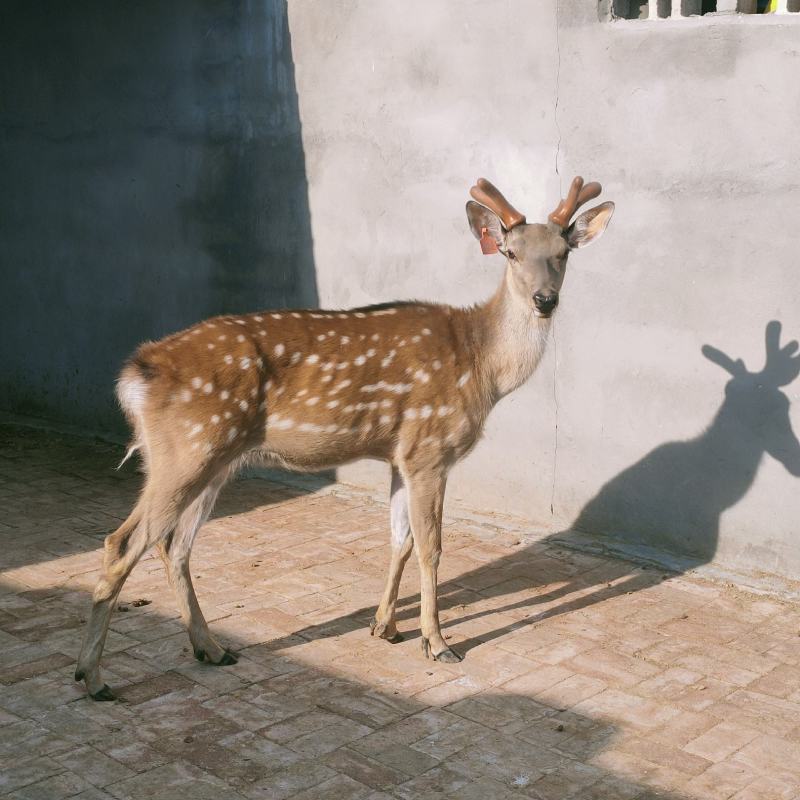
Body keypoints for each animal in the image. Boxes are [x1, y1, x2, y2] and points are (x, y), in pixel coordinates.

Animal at [75, 176, 614, 700]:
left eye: (563, 253)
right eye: (511, 253)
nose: (545, 300)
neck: (482, 366)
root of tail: (136, 374)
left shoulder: (399, 455)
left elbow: (399, 539)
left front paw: (384, 627)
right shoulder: (430, 447)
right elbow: (431, 546)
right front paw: (436, 643)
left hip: (211, 460)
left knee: (175, 546)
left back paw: (211, 648)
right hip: (187, 449)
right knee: (123, 542)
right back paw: (94, 677)